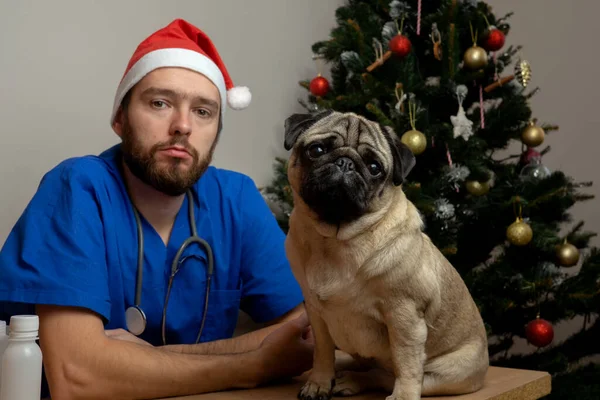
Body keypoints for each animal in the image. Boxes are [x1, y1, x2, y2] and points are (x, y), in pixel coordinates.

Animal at [284, 110, 488, 400]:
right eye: (317, 150)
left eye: (374, 168)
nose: (345, 163)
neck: (335, 241)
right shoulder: (316, 312)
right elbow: (322, 353)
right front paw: (319, 382)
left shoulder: (405, 317)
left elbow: (406, 363)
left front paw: (403, 396)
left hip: (448, 373)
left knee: (389, 375)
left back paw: (356, 381)